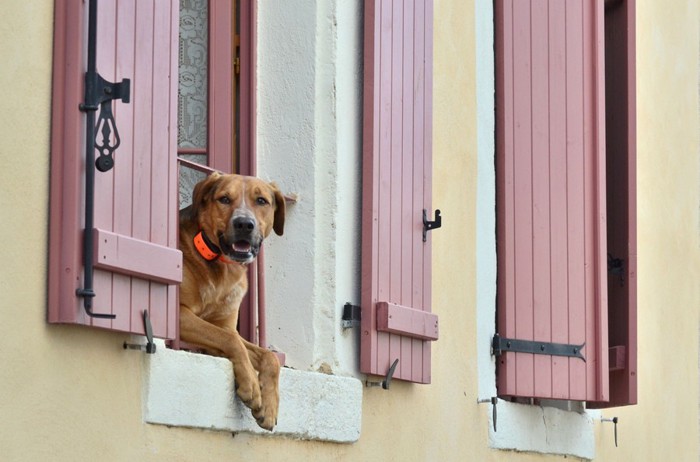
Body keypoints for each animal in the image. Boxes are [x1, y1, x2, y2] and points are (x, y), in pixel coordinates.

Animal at [179, 172, 286, 430]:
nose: (244, 224)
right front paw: (252, 385)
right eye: (224, 199)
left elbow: (269, 356)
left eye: (261, 200)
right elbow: (231, 341)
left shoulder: (225, 325)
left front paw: (269, 405)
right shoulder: (180, 313)